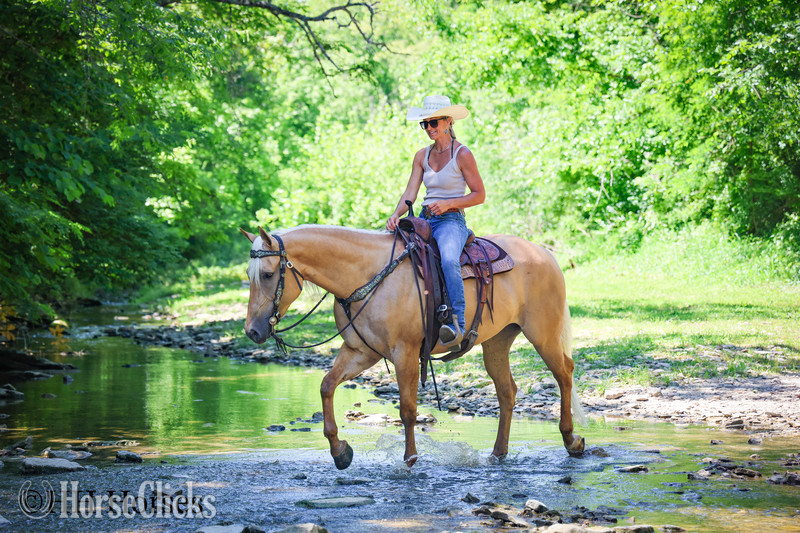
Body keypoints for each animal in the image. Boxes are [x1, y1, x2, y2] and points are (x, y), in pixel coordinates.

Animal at [241, 224, 586, 469]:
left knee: (564, 374)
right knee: (507, 391)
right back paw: (498, 454)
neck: (366, 276)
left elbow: (407, 410)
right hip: (497, 341)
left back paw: (572, 441)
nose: (253, 331)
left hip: (543, 334)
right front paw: (340, 452)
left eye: (268, 274)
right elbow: (327, 386)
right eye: (250, 275)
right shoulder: (360, 352)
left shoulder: (404, 353)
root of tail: (544, 253)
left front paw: (409, 460)